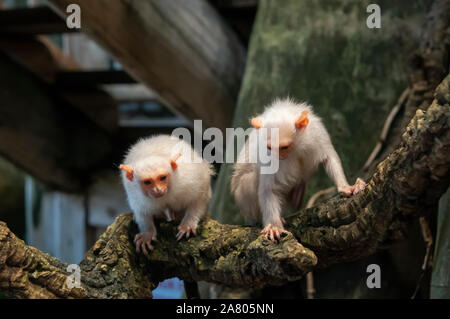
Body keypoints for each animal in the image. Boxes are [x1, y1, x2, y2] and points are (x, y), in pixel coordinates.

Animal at [232, 98, 366, 242]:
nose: (278, 156)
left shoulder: (316, 133)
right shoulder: (265, 155)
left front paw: (346, 187)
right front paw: (274, 226)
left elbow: (328, 158)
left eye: (284, 147)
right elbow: (268, 191)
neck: (295, 148)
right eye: (270, 147)